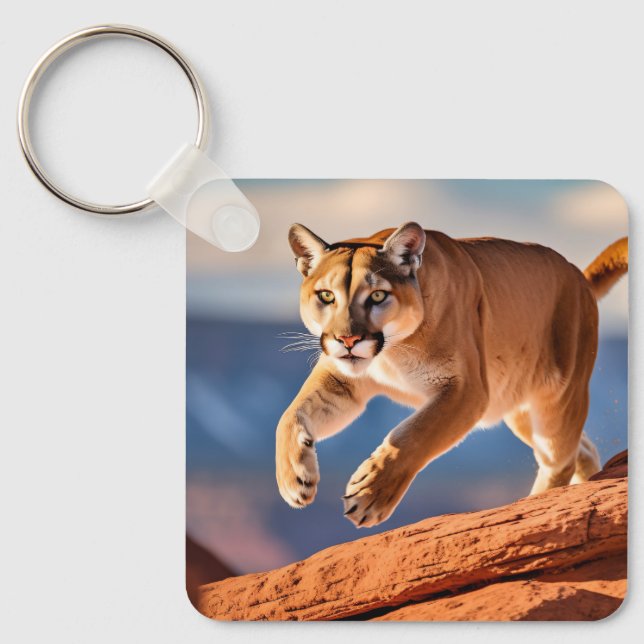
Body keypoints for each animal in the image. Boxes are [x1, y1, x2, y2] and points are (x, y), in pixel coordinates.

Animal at [275, 222, 628, 528]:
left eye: (377, 296)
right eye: (326, 295)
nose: (348, 340)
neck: (392, 352)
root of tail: (577, 275)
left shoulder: (467, 390)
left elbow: (414, 436)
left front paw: (370, 494)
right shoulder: (340, 379)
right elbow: (290, 416)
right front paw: (294, 480)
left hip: (559, 396)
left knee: (559, 459)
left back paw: (534, 510)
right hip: (518, 408)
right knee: (581, 449)